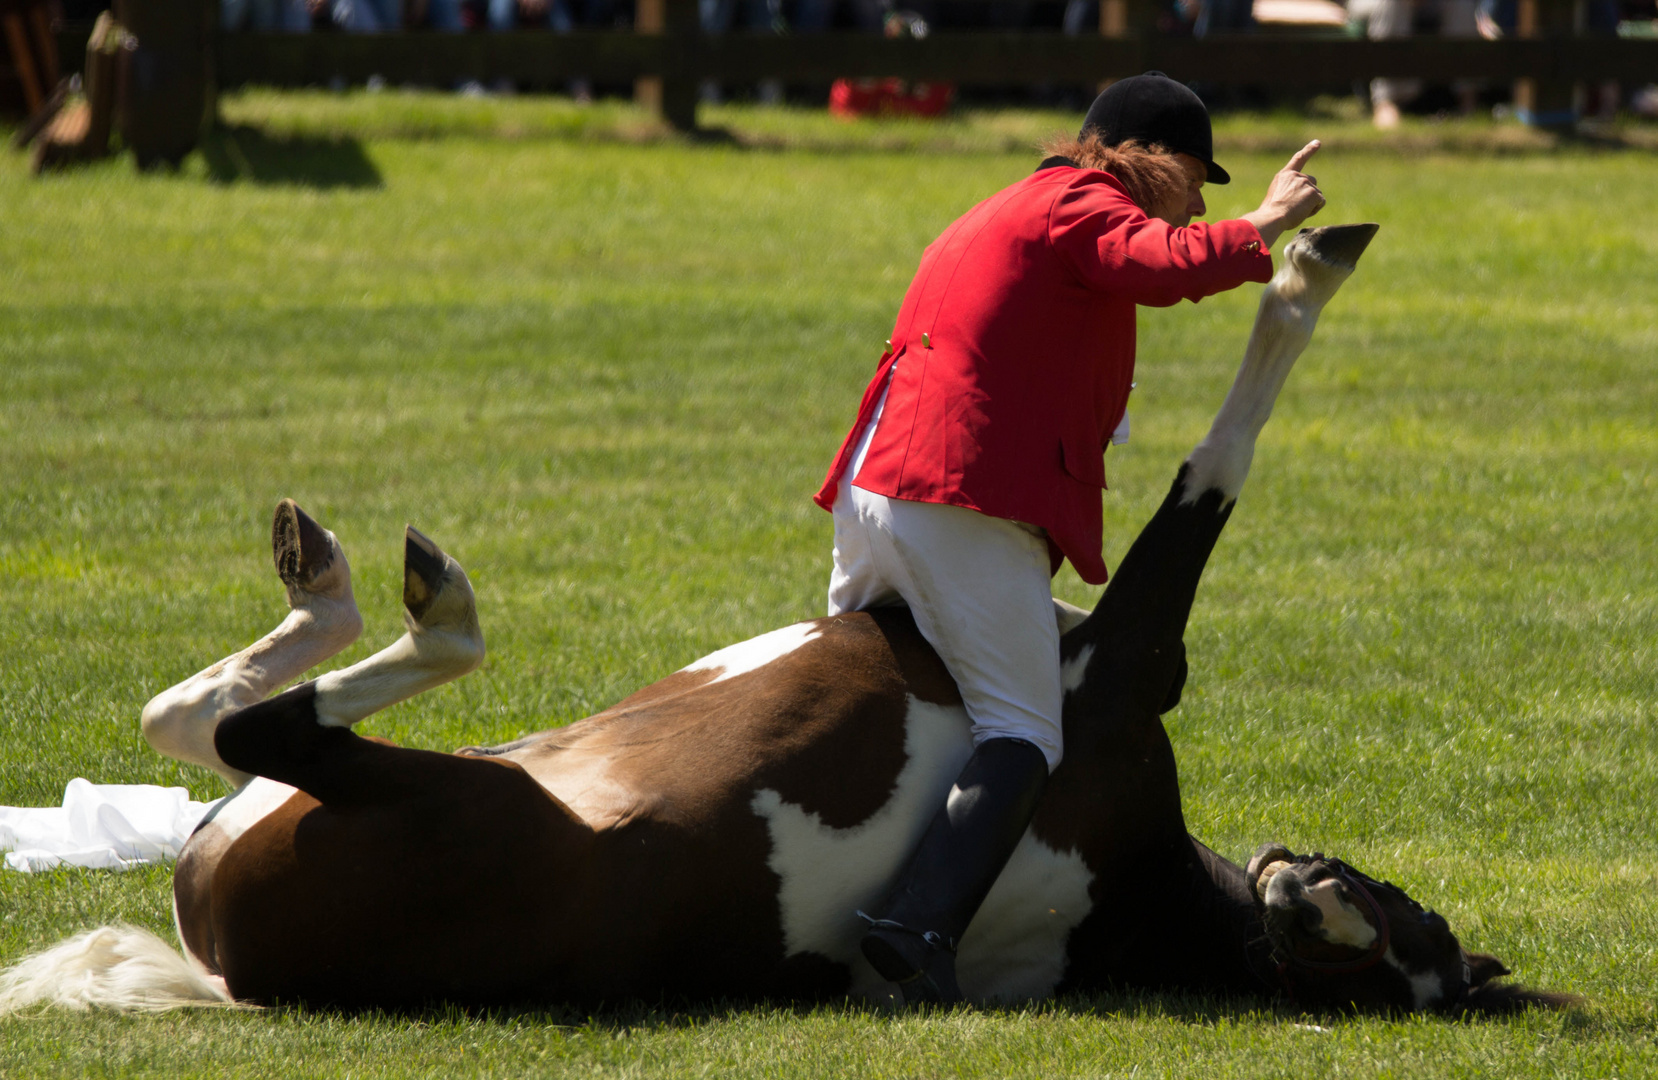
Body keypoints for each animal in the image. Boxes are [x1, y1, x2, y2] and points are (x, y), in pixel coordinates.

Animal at [0, 223, 1571, 1015]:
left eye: (1402, 954)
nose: (1312, 905)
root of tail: (221, 964)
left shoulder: (1129, 658)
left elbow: (1219, 458)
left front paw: (1305, 263)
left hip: (413, 796)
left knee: (267, 721)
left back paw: (395, 592)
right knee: (204, 719)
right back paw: (331, 575)